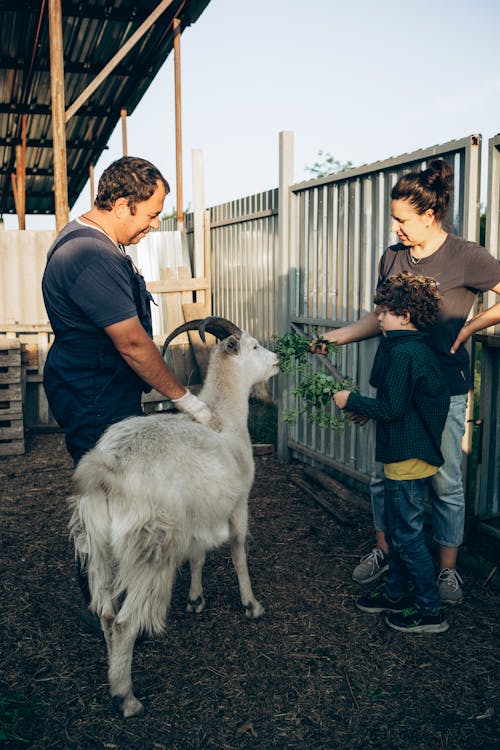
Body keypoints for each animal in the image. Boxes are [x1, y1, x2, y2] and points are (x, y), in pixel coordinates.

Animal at [68, 316, 280, 716]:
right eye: (255, 346)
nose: (277, 361)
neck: (223, 418)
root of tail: (109, 470)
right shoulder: (238, 503)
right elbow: (238, 551)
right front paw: (251, 604)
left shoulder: (196, 516)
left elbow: (197, 556)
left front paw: (196, 599)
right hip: (152, 546)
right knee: (123, 623)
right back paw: (127, 697)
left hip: (100, 547)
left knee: (106, 614)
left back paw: (114, 672)